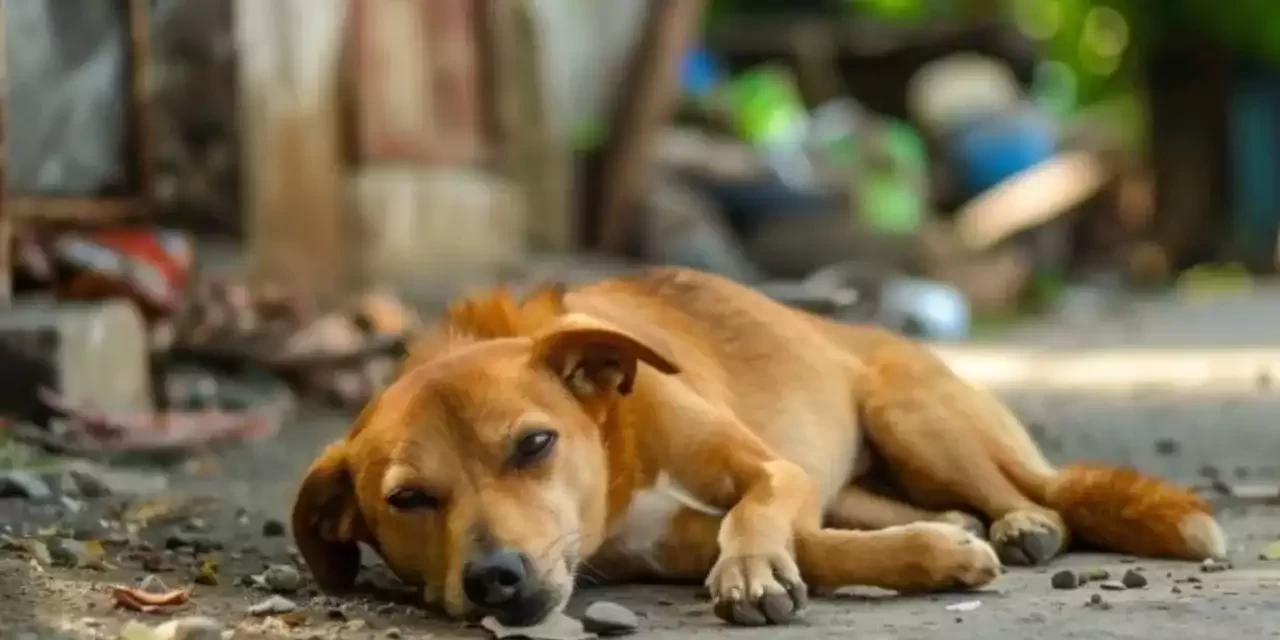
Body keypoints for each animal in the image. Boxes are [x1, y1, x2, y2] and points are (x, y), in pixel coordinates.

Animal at [293, 267, 1228, 627]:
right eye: (407, 501)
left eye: (533, 445)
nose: (495, 579)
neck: (619, 452)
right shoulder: (665, 545)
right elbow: (815, 546)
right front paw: (934, 555)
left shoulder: (771, 471)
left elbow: (759, 515)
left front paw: (749, 573)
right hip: (863, 477)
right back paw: (964, 526)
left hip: (914, 416)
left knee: (1037, 496)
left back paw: (1021, 523)